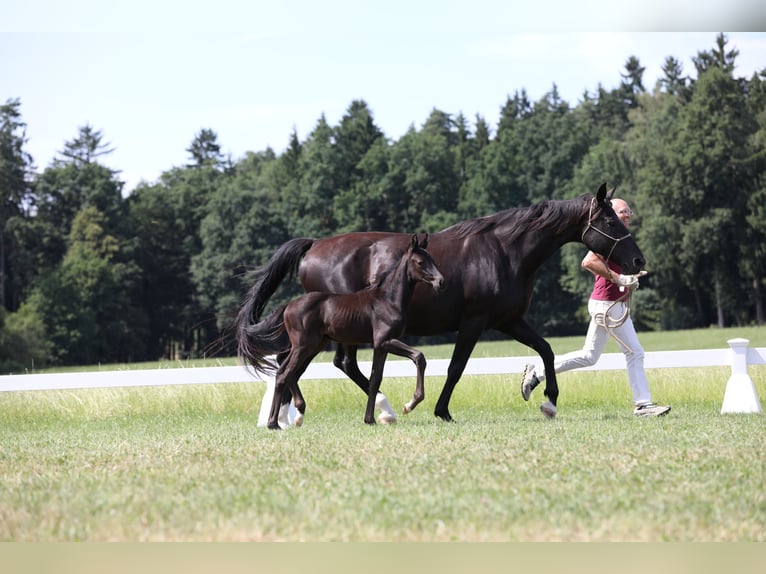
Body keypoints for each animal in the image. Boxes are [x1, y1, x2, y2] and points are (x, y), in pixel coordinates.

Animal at [250, 234, 445, 428]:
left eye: (432, 260)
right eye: (420, 262)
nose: (440, 281)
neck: (387, 300)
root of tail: (288, 305)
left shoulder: (381, 346)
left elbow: (375, 379)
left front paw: (370, 419)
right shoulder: (384, 341)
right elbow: (419, 357)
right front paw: (409, 405)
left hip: (314, 344)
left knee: (283, 371)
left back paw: (286, 417)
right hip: (304, 345)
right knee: (285, 373)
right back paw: (276, 421)